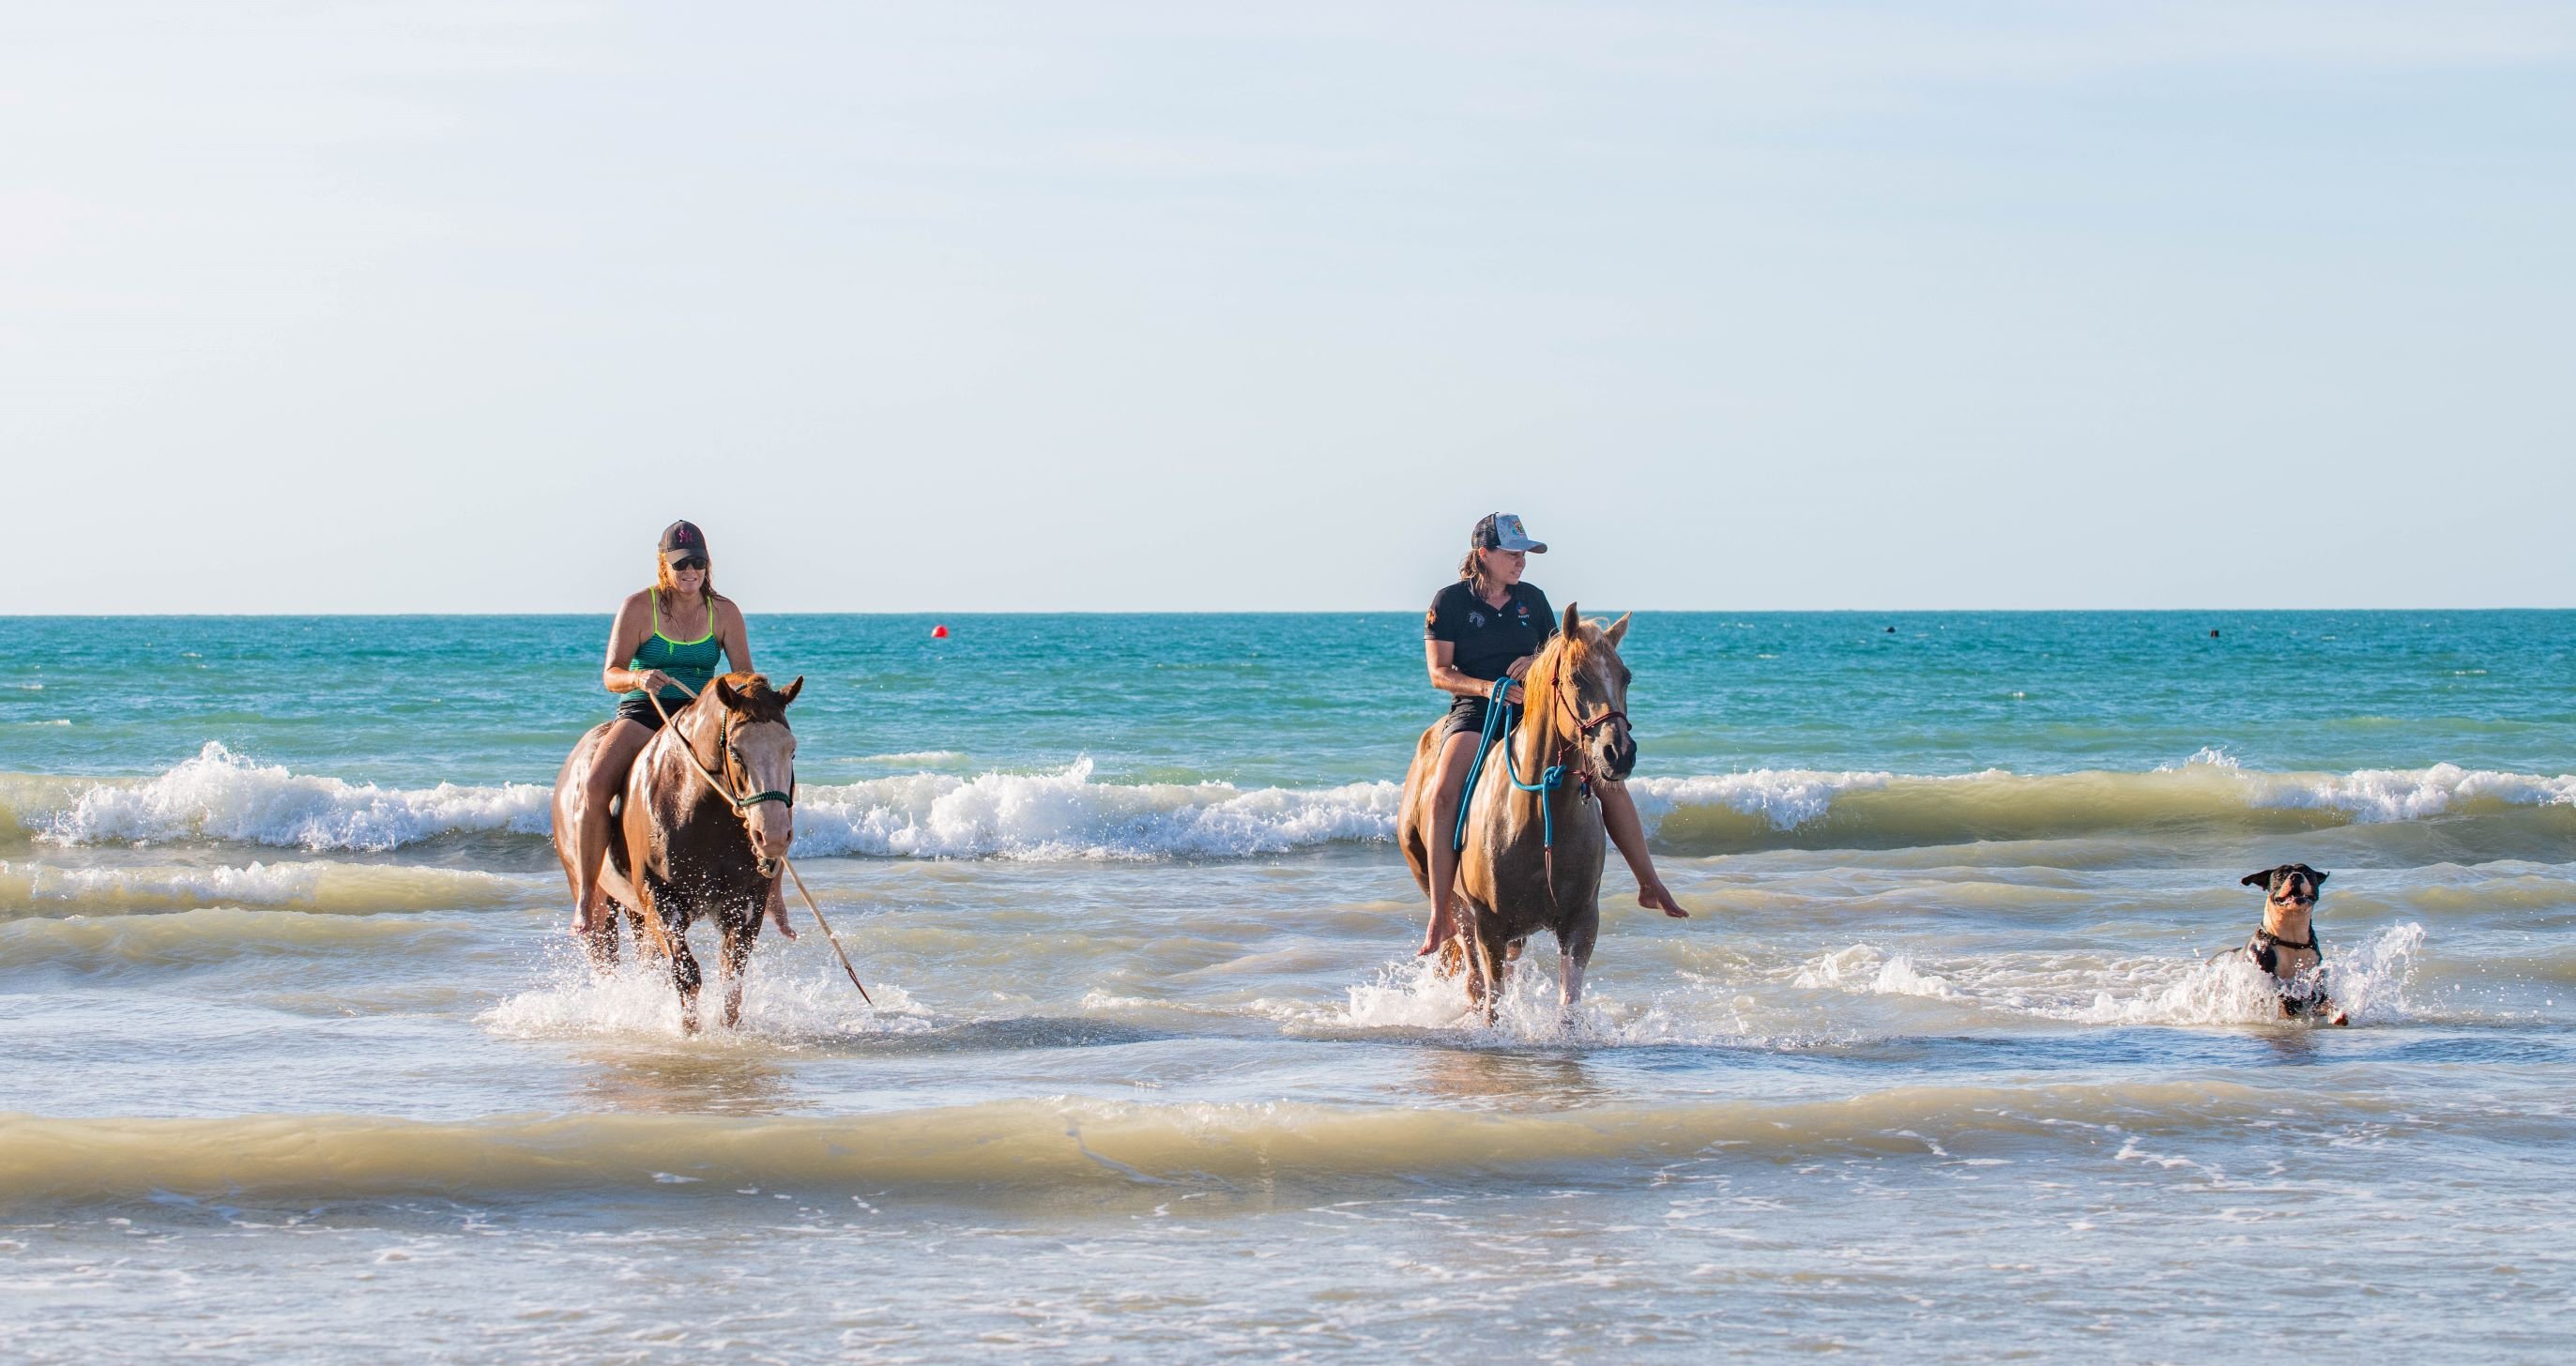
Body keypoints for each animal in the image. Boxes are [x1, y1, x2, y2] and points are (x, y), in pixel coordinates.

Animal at [554, 664, 803, 1025]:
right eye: (735, 752)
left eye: (791, 750)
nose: (771, 835)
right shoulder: (661, 900)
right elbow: (687, 975)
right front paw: (690, 1031)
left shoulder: (744, 904)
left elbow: (731, 981)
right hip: (599, 902)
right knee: (605, 956)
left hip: (636, 910)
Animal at [1401, 602, 1638, 1009]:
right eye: (1576, 677)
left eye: (1626, 677)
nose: (1618, 753)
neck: (1537, 817)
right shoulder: (1489, 929)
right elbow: (1493, 1005)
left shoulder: (1580, 925)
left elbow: (1567, 1010)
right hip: (1447, 901)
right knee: (1471, 975)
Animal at [2246, 860, 2349, 1020]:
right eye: (2280, 875)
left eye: (2306, 872)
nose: (2296, 876)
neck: (2292, 940)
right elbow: (2280, 999)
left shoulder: (2315, 981)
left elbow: (2325, 1000)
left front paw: (2337, 1013)